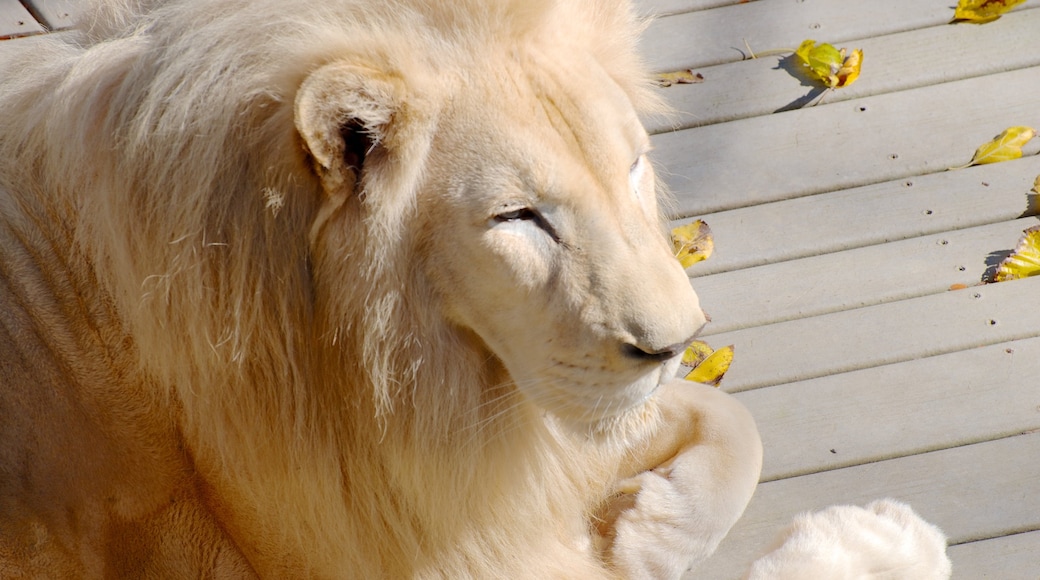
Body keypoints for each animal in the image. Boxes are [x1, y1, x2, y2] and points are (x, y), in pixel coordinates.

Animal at [0, 0, 948, 577]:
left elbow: (728, 415)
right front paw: (878, 538)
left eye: (633, 167)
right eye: (519, 218)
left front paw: (645, 529)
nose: (673, 344)